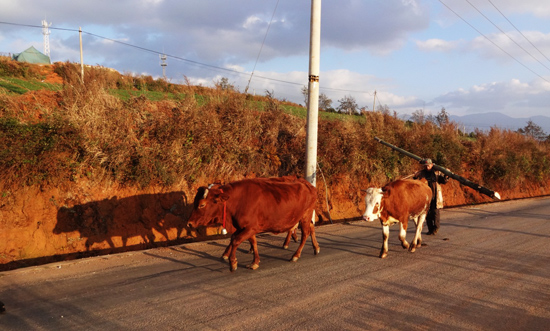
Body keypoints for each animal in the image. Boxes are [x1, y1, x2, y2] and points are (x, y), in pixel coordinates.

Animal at [189, 176, 322, 272]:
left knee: (305, 233)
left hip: (305, 216)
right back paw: (316, 247)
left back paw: (296, 255)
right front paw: (255, 262)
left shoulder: (250, 228)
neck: (237, 201)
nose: (189, 223)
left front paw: (233, 262)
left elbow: (236, 240)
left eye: (202, 204)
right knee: (311, 227)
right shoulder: (246, 227)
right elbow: (251, 241)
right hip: (303, 217)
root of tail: (308, 185)